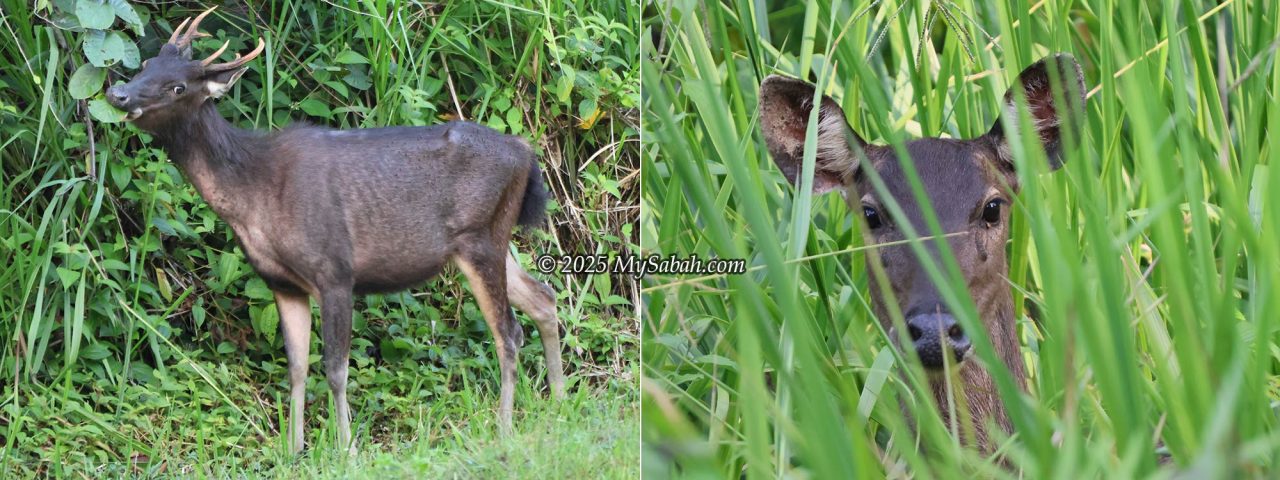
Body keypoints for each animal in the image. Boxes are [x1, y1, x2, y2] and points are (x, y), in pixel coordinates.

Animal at [104, 7, 566, 454]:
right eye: (146, 63)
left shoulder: (336, 271)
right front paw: (293, 451)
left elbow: (335, 369)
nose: (118, 93)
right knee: (543, 296)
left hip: (480, 237)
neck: (255, 196)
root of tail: (526, 153)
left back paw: (505, 428)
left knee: (508, 332)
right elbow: (296, 367)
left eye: (178, 86)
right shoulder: (283, 284)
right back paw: (559, 402)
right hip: (491, 241)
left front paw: (346, 449)